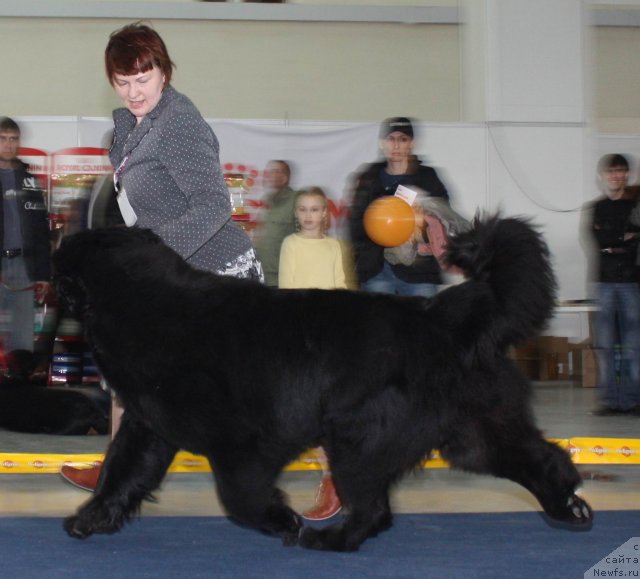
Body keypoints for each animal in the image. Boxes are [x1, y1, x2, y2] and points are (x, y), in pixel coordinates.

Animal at [52, 218, 592, 552]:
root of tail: (442, 318)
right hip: (475, 435)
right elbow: (120, 472)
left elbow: (241, 496)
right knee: (546, 460)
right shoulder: (149, 427)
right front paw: (90, 518)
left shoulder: (242, 444)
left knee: (373, 508)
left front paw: (284, 521)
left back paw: (329, 540)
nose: (48, 271)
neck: (146, 301)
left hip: (358, 438)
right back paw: (570, 507)